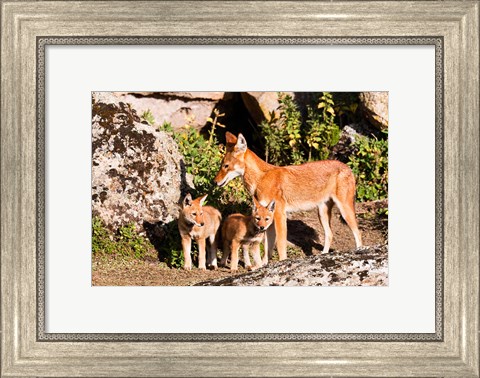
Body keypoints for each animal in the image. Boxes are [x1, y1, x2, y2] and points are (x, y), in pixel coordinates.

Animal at [215, 133, 364, 262]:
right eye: (221, 165)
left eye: (226, 166)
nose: (215, 182)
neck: (261, 179)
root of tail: (348, 167)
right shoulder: (267, 220)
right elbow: (268, 249)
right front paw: (264, 266)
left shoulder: (280, 215)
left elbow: (280, 245)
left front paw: (282, 262)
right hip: (322, 213)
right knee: (330, 234)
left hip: (345, 211)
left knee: (358, 235)